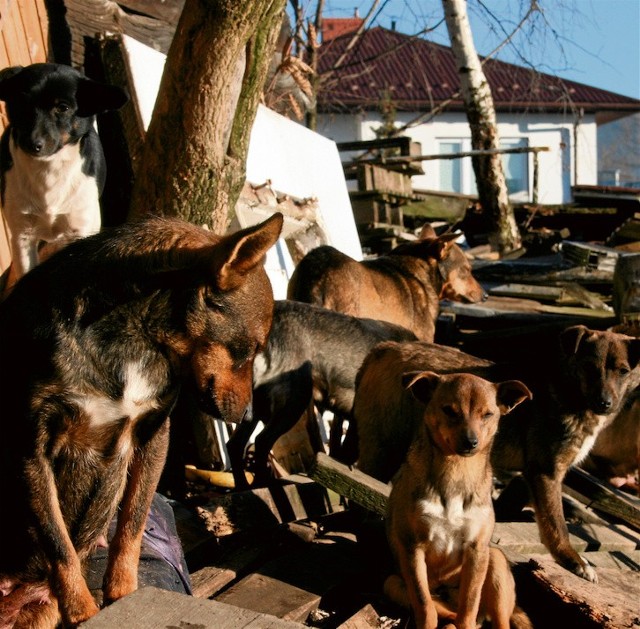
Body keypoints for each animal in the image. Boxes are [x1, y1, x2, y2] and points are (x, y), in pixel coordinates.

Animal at [0, 63, 127, 284]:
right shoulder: (22, 235)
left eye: (63, 108)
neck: (49, 170)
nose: (32, 144)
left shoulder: (79, 231)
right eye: (20, 102)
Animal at [0, 213, 282, 624]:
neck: (134, 341)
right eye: (250, 349)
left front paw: (124, 595)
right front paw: (83, 612)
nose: (247, 414)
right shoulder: (31, 452)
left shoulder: (152, 438)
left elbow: (131, 525)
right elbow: (60, 545)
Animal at [352, 326, 640, 580]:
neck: (568, 392)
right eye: (590, 368)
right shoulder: (546, 472)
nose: (605, 403)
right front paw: (573, 560)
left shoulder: (532, 474)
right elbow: (557, 525)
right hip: (383, 450)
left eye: (623, 371)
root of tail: (384, 348)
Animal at [384, 372, 528, 628]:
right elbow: (424, 604)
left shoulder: (477, 549)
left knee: (488, 619)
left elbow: (469, 602)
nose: (471, 442)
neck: (457, 470)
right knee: (444, 611)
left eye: (488, 414)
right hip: (393, 583)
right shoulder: (412, 547)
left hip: (495, 562)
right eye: (449, 410)